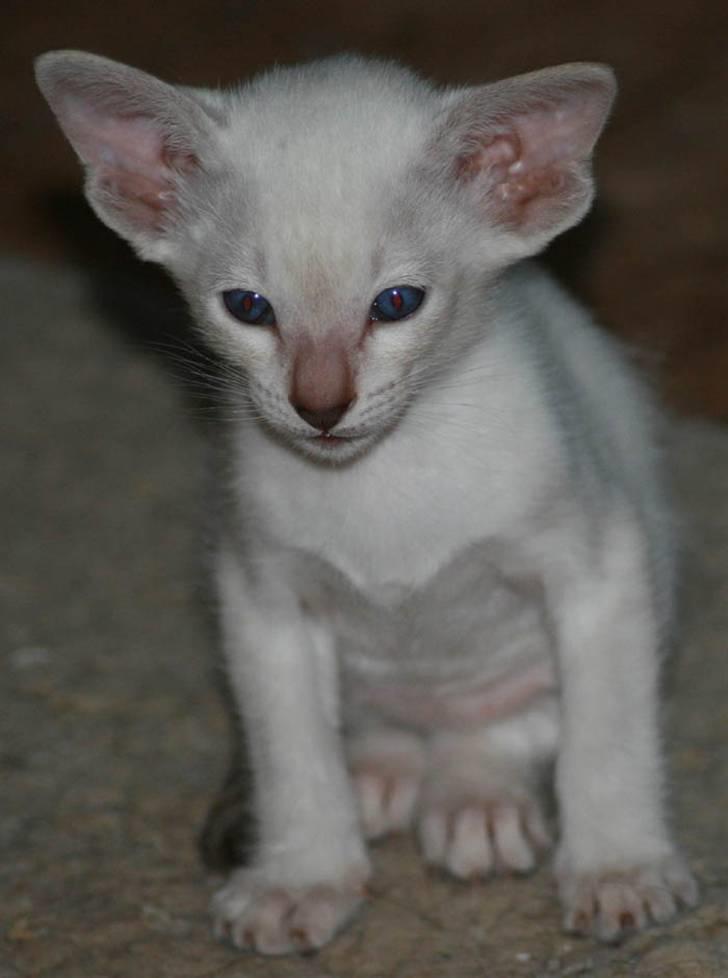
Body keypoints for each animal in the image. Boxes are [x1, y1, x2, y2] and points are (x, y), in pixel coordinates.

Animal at [37, 47, 696, 952]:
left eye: (397, 305)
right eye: (248, 308)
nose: (320, 407)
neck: (382, 481)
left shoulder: (601, 569)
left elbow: (608, 740)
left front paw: (618, 867)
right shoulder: (262, 599)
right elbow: (291, 755)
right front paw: (303, 876)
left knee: (506, 726)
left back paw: (476, 802)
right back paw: (384, 777)